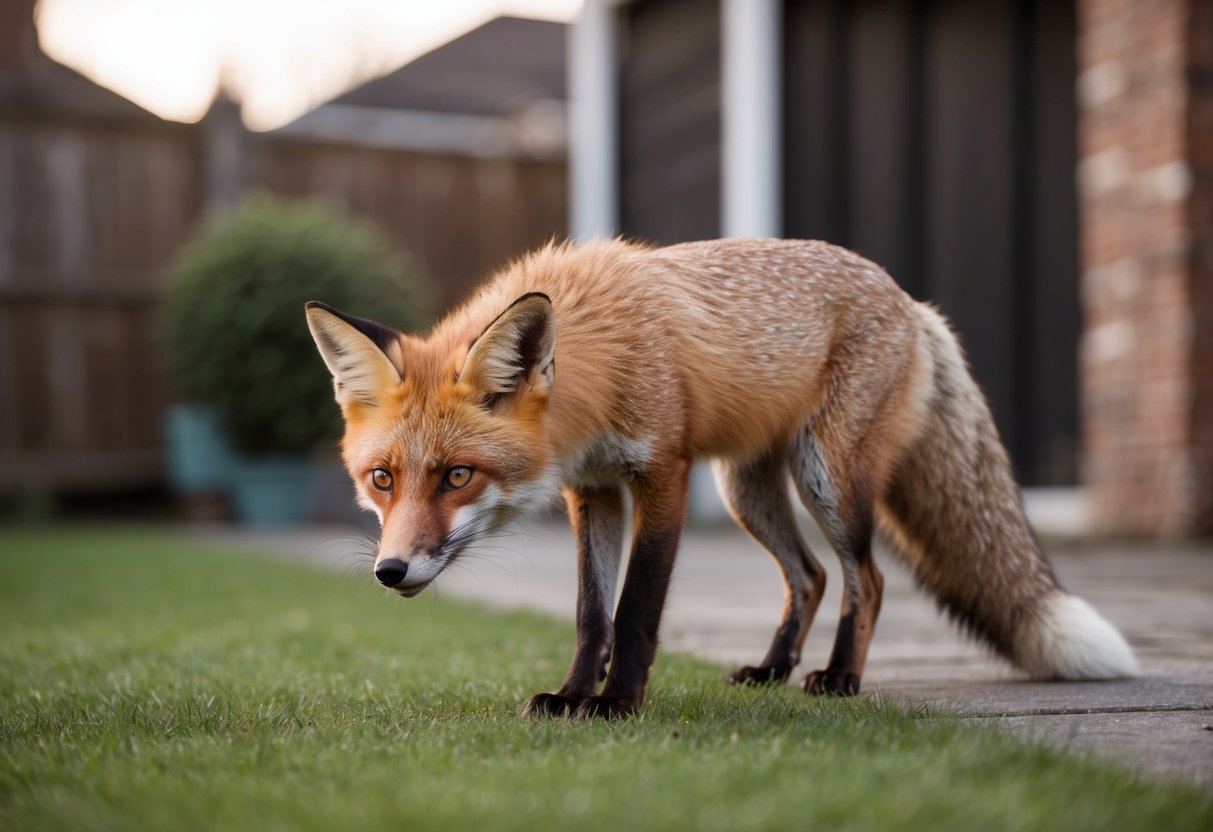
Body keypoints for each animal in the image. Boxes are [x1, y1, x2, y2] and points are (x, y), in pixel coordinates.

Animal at [305, 237, 1139, 719]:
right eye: (382, 479)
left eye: (456, 476)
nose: (390, 570)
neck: (601, 348)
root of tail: (911, 301)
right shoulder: (593, 490)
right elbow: (590, 614)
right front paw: (572, 694)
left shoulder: (661, 475)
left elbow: (635, 611)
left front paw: (618, 704)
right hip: (747, 491)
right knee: (809, 576)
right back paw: (772, 670)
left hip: (825, 478)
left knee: (864, 577)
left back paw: (839, 678)